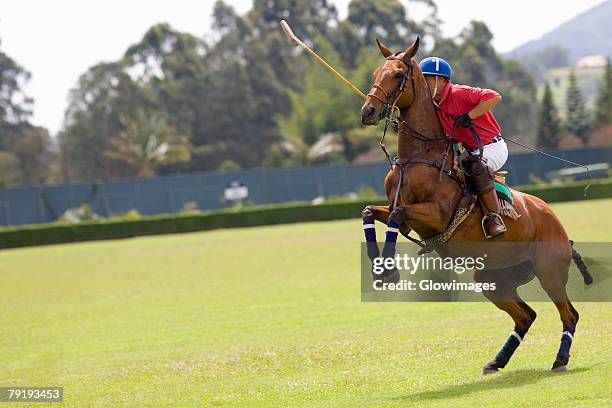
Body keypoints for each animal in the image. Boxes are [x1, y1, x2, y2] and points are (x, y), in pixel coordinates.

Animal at [358, 37, 592, 372]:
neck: (419, 156)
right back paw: (497, 360)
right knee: (527, 315)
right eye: (377, 72)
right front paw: (378, 267)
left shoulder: (437, 216)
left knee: (569, 313)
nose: (368, 111)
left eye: (399, 75)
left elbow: (398, 214)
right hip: (493, 278)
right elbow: (370, 211)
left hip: (549, 271)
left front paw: (388, 269)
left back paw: (560, 359)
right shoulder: (400, 213)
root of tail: (556, 221)